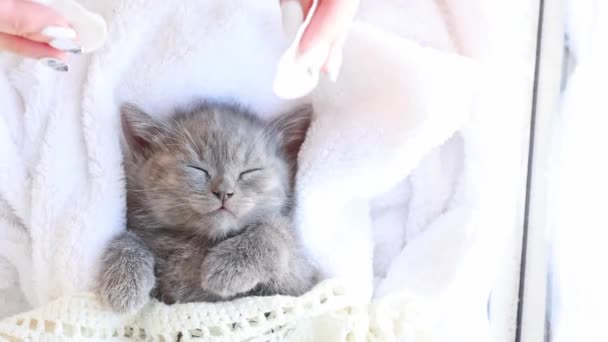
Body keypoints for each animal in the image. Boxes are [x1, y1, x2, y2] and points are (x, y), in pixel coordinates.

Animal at [97, 99, 316, 312]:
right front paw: (125, 284)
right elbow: (127, 238)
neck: (200, 241)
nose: (224, 192)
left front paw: (228, 266)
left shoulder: (297, 287)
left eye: (249, 171)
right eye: (197, 168)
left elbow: (276, 232)